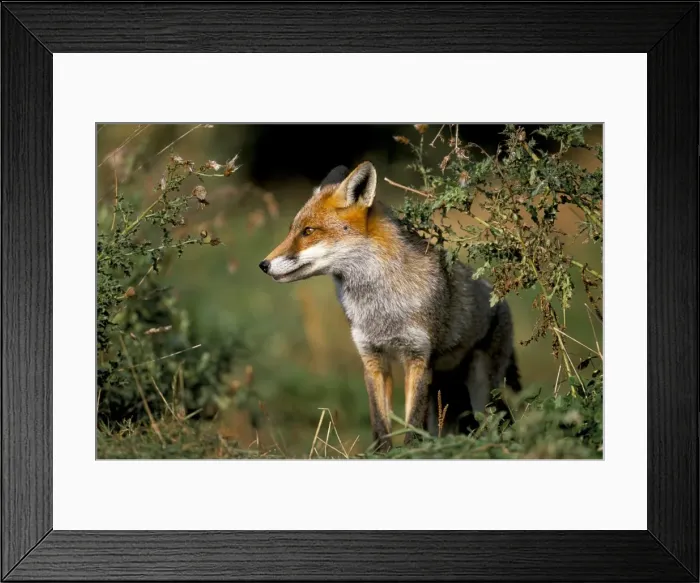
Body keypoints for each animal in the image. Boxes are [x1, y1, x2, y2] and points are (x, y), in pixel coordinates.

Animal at [259, 161, 522, 451]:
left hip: (483, 390)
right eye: (292, 230)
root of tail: (500, 299)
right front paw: (381, 454)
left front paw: (409, 453)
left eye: (308, 231)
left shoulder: (418, 359)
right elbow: (380, 423)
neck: (381, 309)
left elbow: (411, 424)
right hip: (443, 390)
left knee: (496, 423)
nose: (263, 264)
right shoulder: (373, 359)